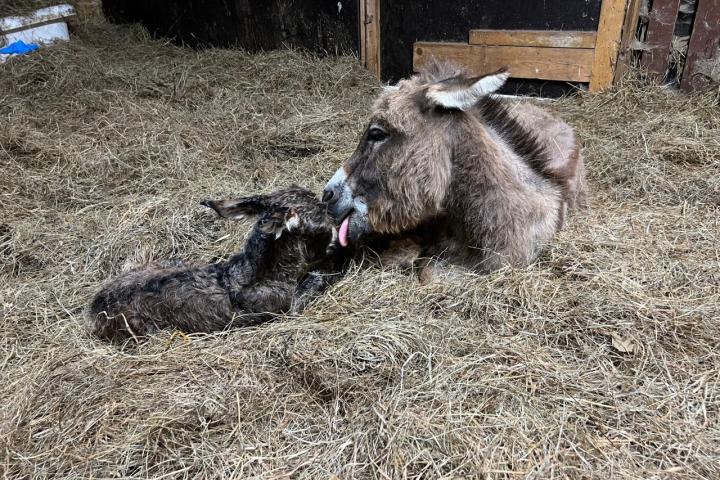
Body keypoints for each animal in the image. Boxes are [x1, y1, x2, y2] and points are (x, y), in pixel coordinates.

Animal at [89, 188, 344, 342]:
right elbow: (318, 278)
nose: (338, 226)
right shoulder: (285, 309)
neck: (261, 272)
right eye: (320, 216)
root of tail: (92, 309)